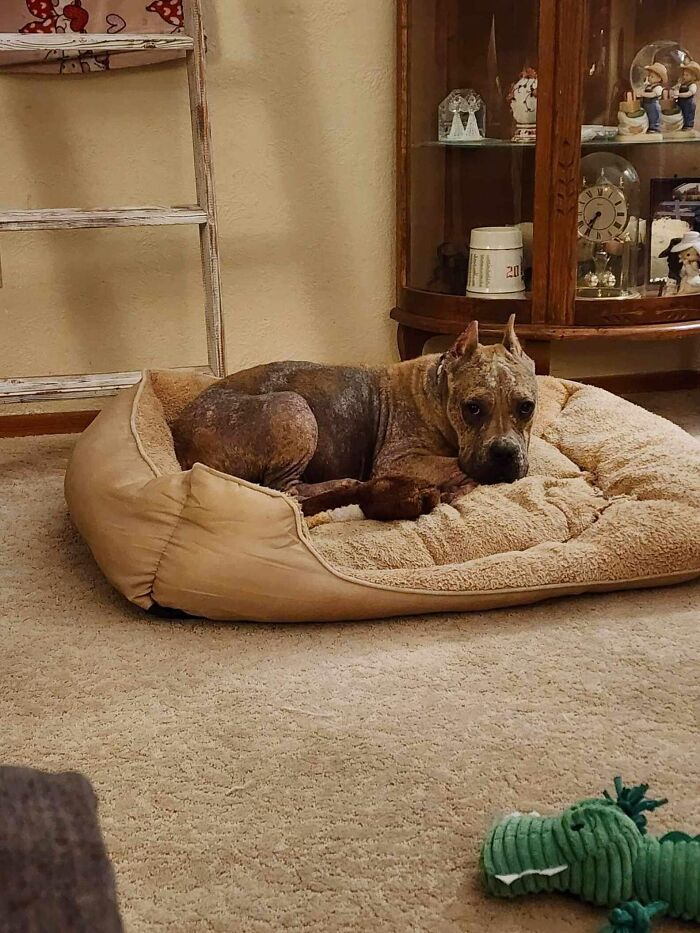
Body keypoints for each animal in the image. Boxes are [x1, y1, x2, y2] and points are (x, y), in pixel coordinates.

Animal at [172, 316, 540, 520]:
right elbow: (456, 468)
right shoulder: (399, 460)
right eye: (472, 408)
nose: (505, 453)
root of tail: (180, 432)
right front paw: (459, 485)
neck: (437, 396)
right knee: (286, 490)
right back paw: (344, 484)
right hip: (294, 408)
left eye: (527, 407)